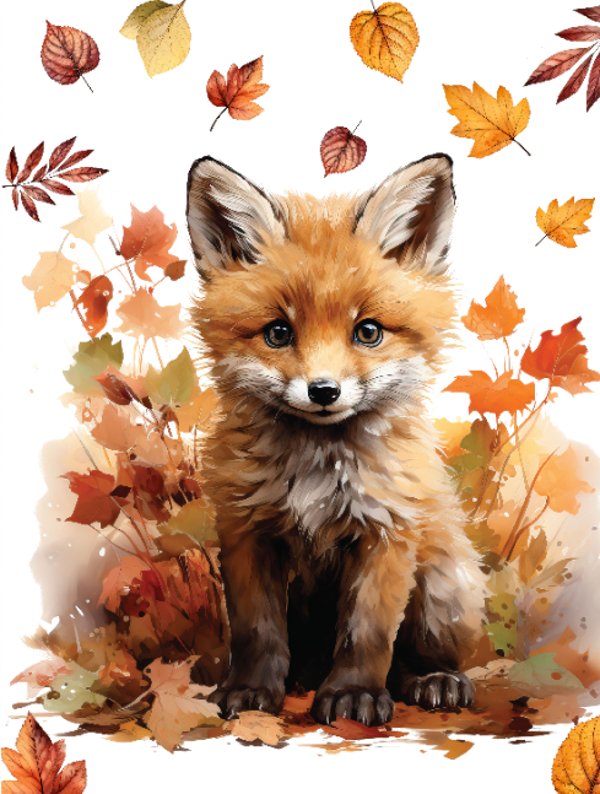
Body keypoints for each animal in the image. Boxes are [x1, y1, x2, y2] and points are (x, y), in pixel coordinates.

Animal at [185, 154, 487, 727]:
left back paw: (432, 679)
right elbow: (257, 632)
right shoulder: (247, 530)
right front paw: (251, 690)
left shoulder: (386, 531)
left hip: (440, 587)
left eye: (368, 332)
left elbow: (367, 633)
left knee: (416, 656)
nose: (323, 391)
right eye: (278, 333)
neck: (317, 474)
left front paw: (353, 695)